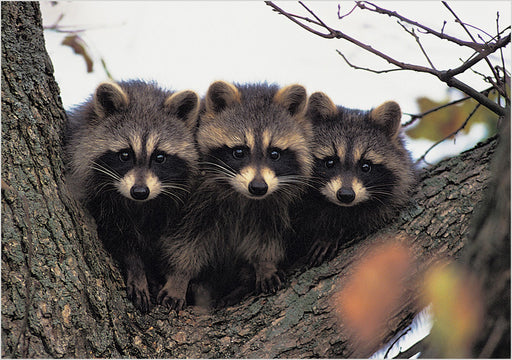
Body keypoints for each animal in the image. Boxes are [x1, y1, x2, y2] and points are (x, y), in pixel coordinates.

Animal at [64, 80, 200, 310]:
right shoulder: (101, 201)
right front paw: (137, 271)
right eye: (125, 155)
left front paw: (175, 278)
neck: (140, 205)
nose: (140, 192)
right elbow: (121, 240)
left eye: (160, 157)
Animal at [158, 81, 314, 310]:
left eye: (274, 154)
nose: (258, 187)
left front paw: (265, 263)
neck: (242, 196)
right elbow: (184, 240)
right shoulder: (195, 198)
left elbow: (267, 234)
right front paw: (179, 277)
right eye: (239, 152)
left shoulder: (273, 203)